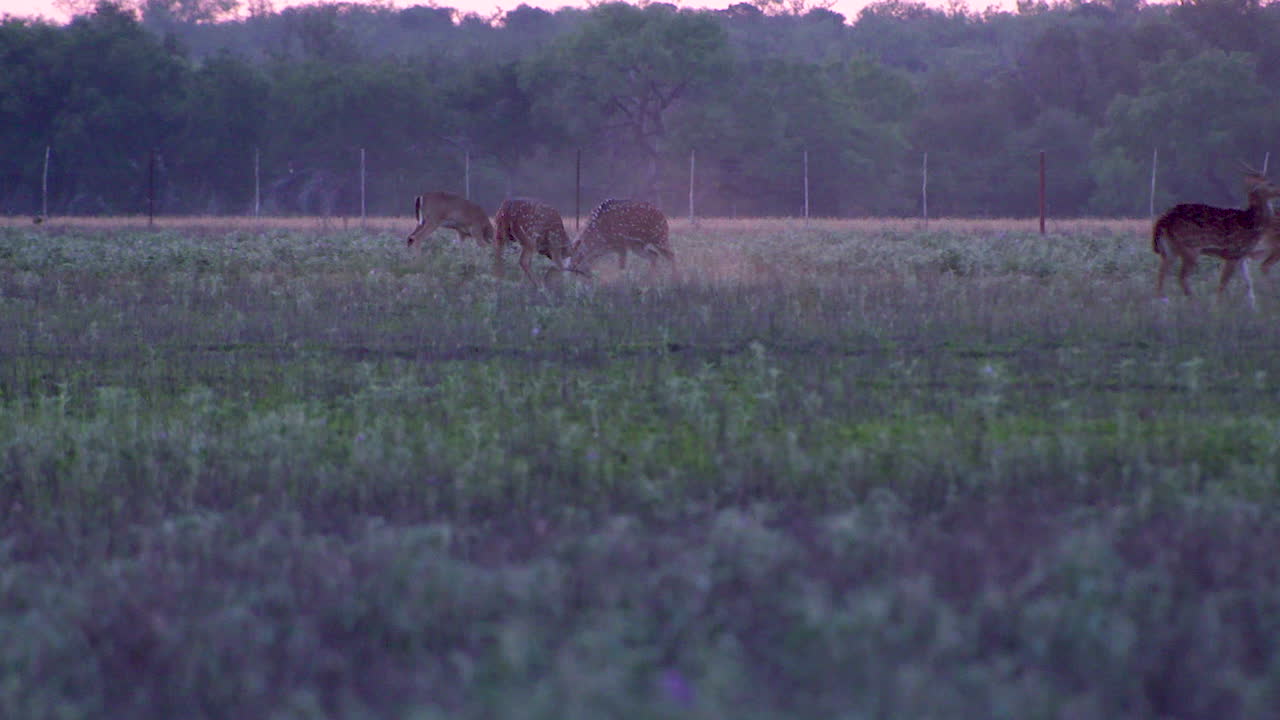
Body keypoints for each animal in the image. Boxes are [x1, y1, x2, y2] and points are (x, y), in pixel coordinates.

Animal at [1152, 168, 1280, 309]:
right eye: (1270, 183)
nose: (1279, 191)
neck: (1252, 223)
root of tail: (1163, 219)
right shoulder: (1233, 252)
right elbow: (1223, 283)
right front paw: (1217, 306)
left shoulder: (1242, 255)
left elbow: (1248, 282)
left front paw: (1253, 309)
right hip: (1189, 247)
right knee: (1181, 276)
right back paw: (1193, 302)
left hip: (1169, 248)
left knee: (1161, 274)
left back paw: (1163, 301)